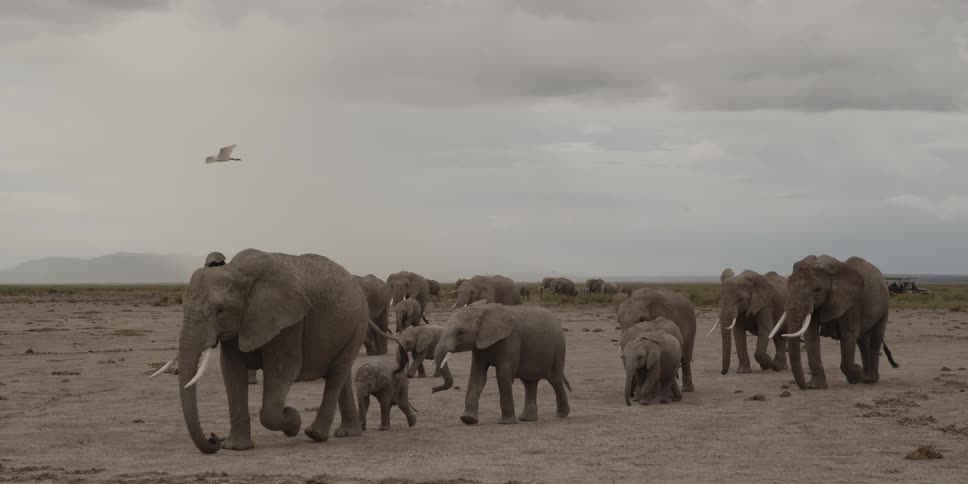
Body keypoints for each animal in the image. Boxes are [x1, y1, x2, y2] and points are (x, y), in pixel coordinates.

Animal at [158, 249, 368, 453]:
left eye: (220, 310)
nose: (214, 438)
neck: (236, 272)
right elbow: (232, 371)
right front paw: (236, 448)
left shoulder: (289, 323)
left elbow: (282, 372)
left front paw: (293, 420)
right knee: (341, 375)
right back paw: (348, 433)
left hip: (358, 325)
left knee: (337, 375)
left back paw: (315, 434)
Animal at [433, 302, 570, 425]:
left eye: (460, 332)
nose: (433, 390)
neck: (482, 310)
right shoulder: (479, 345)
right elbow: (477, 376)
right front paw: (468, 419)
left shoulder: (510, 340)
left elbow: (503, 375)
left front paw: (506, 423)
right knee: (529, 383)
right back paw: (526, 419)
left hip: (558, 349)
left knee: (555, 381)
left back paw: (562, 415)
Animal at [781, 255, 899, 390]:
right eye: (788, 286)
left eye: (817, 289)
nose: (804, 386)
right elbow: (811, 335)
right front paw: (815, 386)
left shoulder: (851, 302)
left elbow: (848, 335)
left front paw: (856, 373)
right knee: (862, 340)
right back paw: (865, 378)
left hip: (885, 305)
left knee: (876, 336)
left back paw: (870, 380)